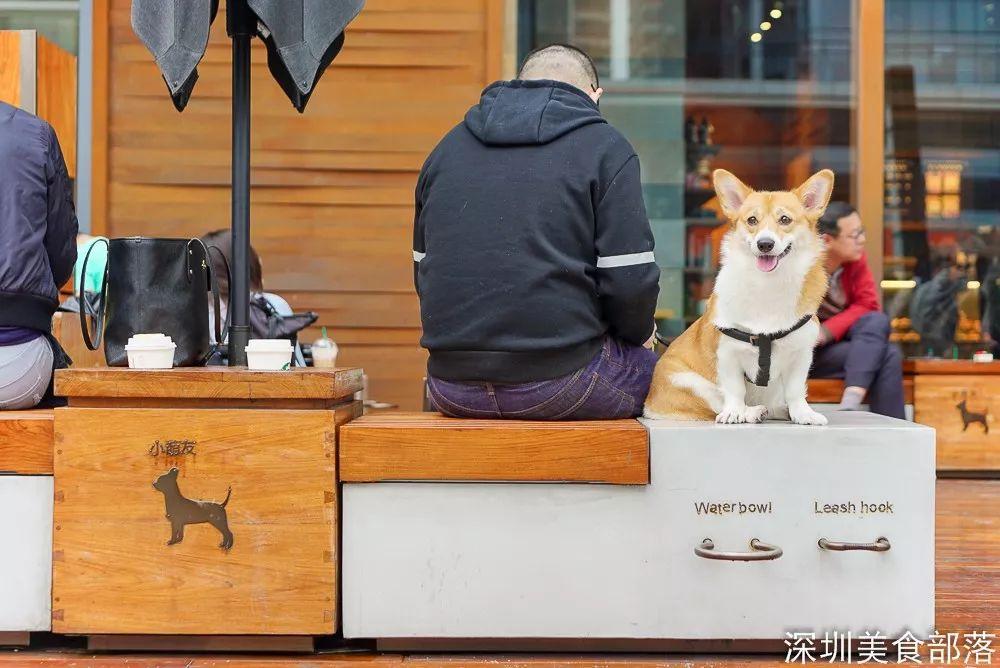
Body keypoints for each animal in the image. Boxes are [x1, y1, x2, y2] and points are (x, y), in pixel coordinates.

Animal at [644, 170, 832, 426]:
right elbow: (734, 390)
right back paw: (750, 412)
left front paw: (803, 414)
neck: (768, 285)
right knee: (717, 402)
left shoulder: (801, 354)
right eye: (752, 220)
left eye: (785, 219)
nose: (765, 244)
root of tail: (649, 404)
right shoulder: (727, 353)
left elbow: (795, 390)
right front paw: (735, 412)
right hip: (688, 382)